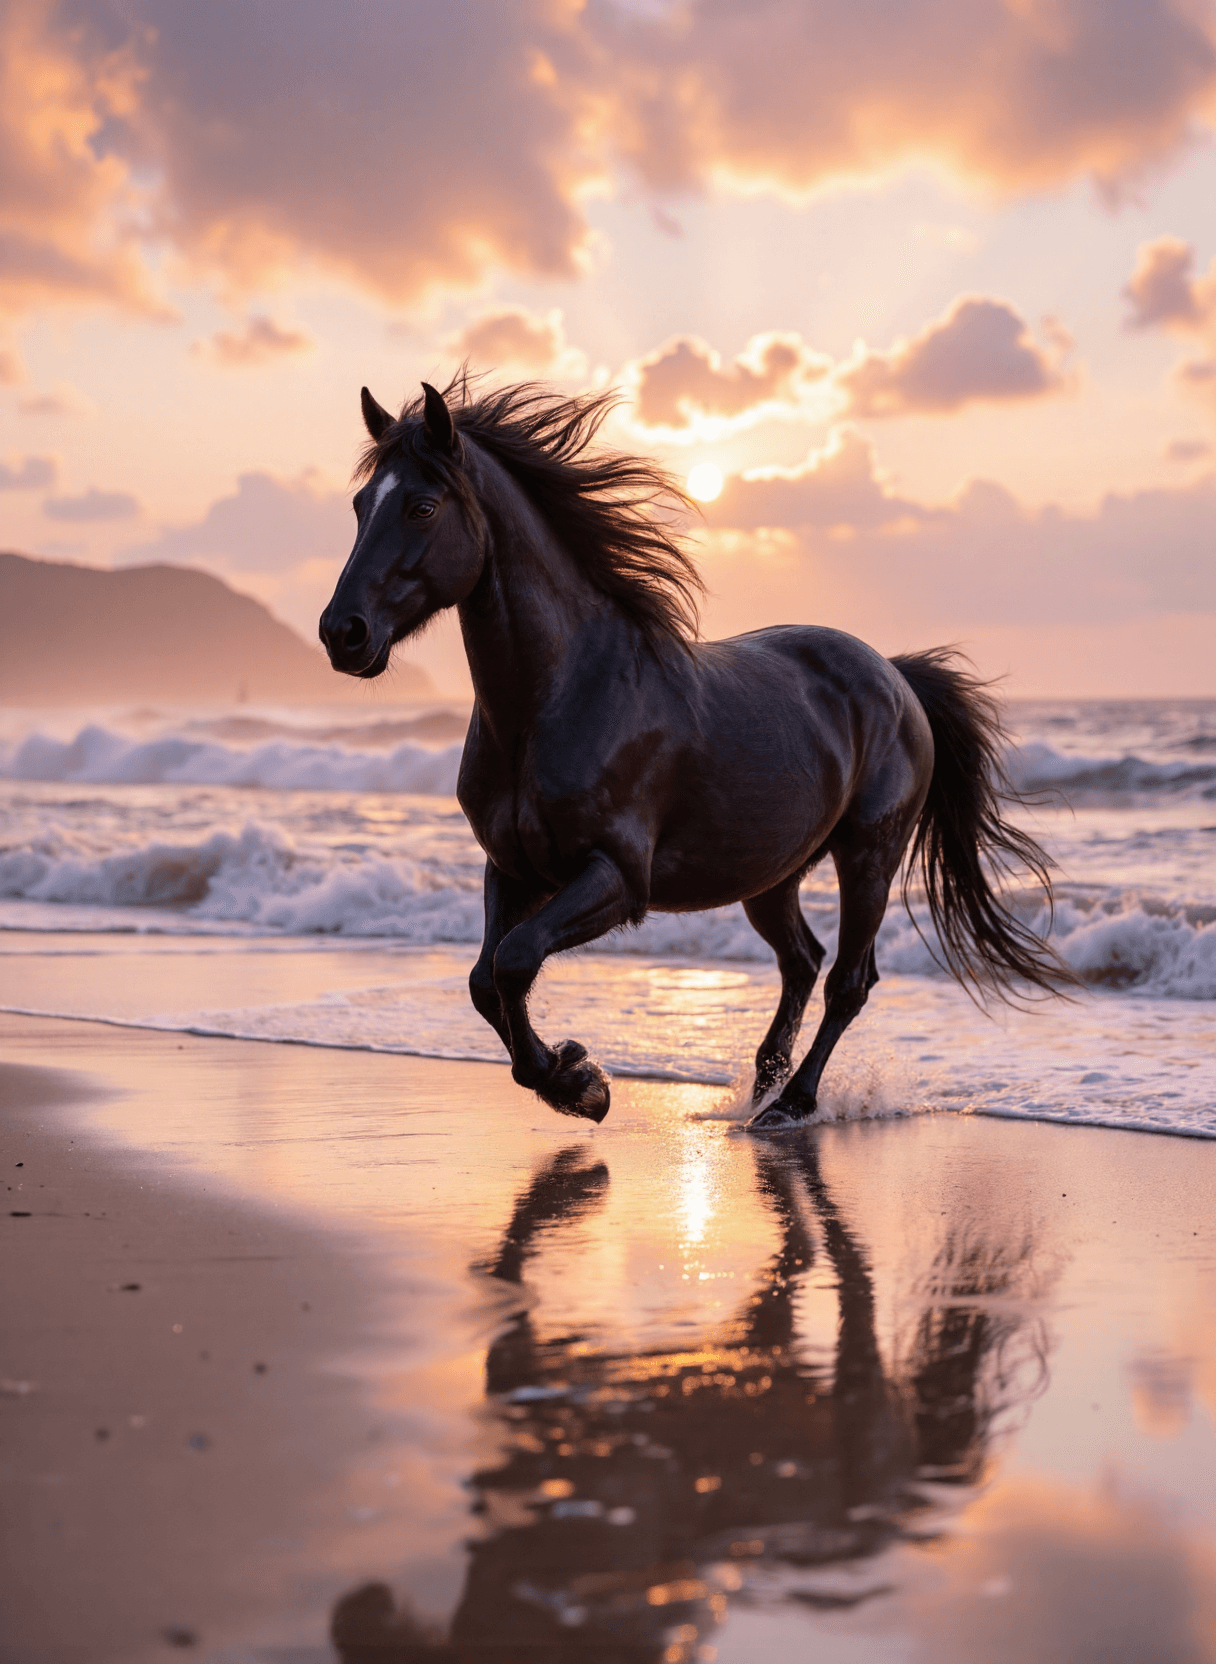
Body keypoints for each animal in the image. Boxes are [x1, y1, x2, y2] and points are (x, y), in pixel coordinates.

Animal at [319, 375, 1072, 1130]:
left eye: (422, 506)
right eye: (359, 505)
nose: (341, 633)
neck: (565, 697)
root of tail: (895, 674)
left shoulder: (616, 878)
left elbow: (515, 958)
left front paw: (578, 1081)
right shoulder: (512, 868)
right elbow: (484, 979)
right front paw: (573, 1077)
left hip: (869, 856)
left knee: (848, 980)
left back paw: (792, 1103)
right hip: (772, 875)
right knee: (802, 961)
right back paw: (764, 1083)